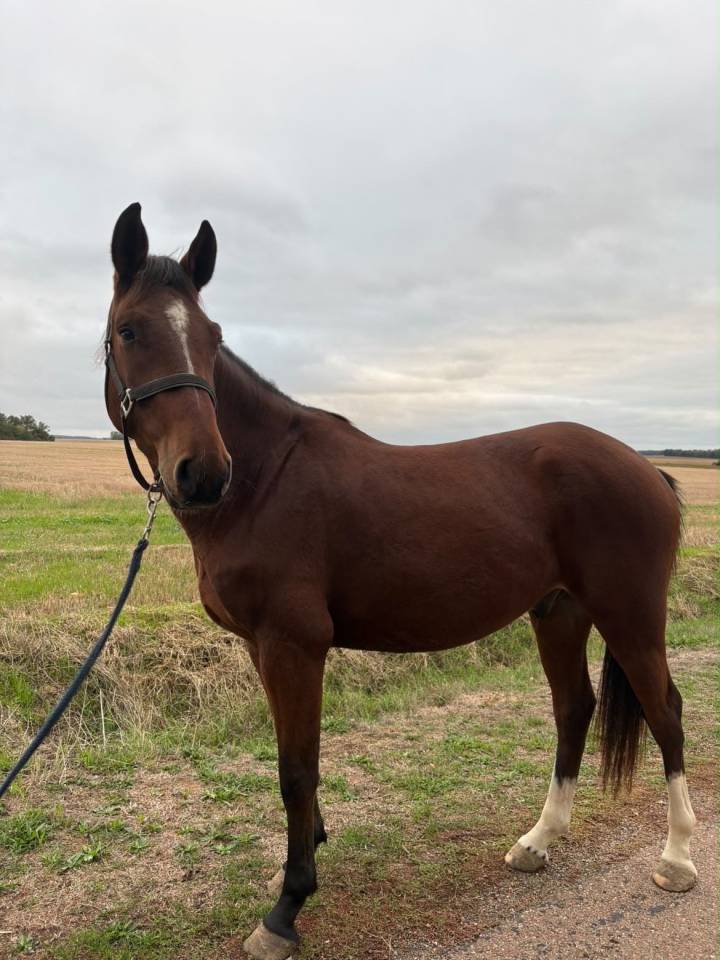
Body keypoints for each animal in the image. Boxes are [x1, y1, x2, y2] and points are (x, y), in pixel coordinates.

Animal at [104, 203, 697, 960]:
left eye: (212, 338)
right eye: (130, 330)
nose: (204, 472)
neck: (265, 481)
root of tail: (647, 468)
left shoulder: (294, 645)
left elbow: (296, 769)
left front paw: (287, 906)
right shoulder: (262, 648)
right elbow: (293, 761)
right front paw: (305, 853)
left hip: (630, 615)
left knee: (665, 712)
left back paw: (676, 858)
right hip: (559, 612)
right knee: (574, 708)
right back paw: (538, 841)